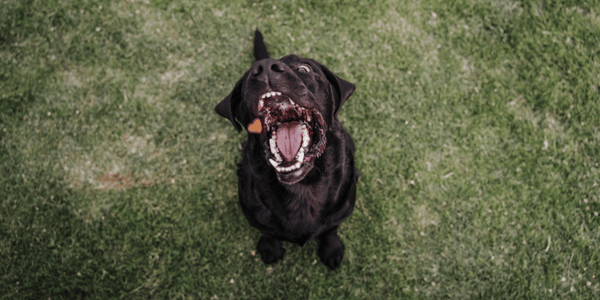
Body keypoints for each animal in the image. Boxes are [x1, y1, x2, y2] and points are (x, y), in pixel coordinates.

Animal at [214, 29, 356, 270]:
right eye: (245, 82)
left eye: (304, 68)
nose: (263, 68)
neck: (302, 189)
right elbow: (267, 232)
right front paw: (270, 247)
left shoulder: (340, 212)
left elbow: (330, 229)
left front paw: (331, 249)